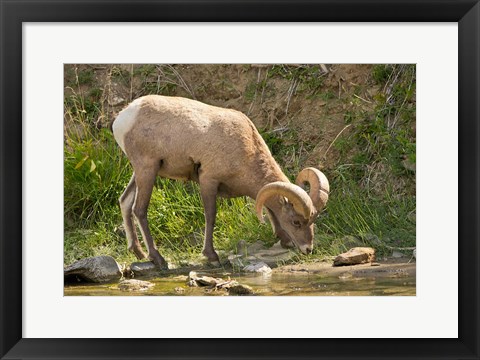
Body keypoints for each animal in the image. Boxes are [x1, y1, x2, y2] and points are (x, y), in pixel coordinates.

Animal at [113, 94, 330, 268]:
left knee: (125, 201)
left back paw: (138, 252)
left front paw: (284, 240)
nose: (308, 249)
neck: (246, 150)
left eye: (313, 220)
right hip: (147, 169)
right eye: (296, 222)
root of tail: (122, 119)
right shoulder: (209, 180)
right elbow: (211, 216)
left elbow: (270, 210)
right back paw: (157, 258)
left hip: (141, 172)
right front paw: (212, 256)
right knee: (139, 209)